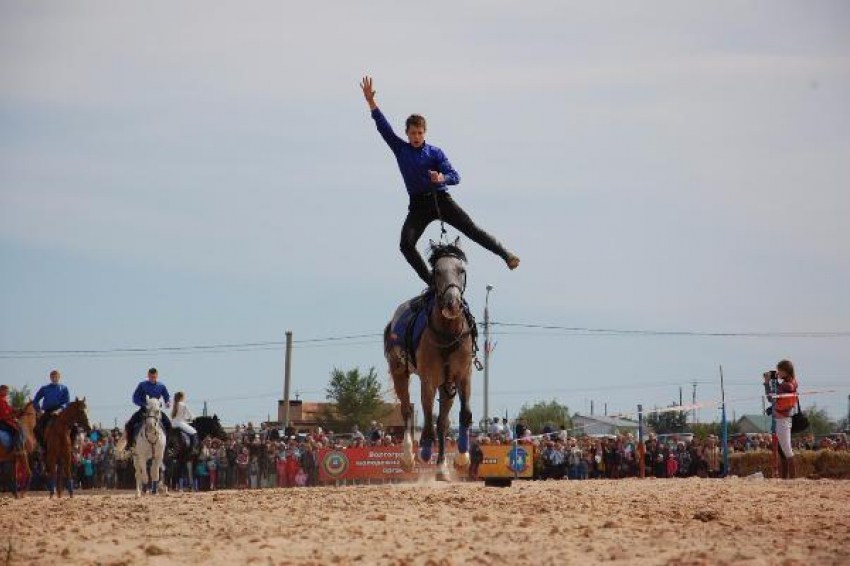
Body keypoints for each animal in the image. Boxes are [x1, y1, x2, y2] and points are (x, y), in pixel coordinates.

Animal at [386, 237, 476, 482]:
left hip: (447, 385)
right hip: (399, 372)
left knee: (442, 422)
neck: (447, 332)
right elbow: (425, 417)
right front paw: (425, 449)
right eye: (437, 271)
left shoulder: (463, 376)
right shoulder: (428, 379)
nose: (452, 303)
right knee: (407, 411)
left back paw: (442, 467)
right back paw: (409, 457)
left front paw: (462, 458)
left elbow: (463, 414)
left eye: (461, 270)